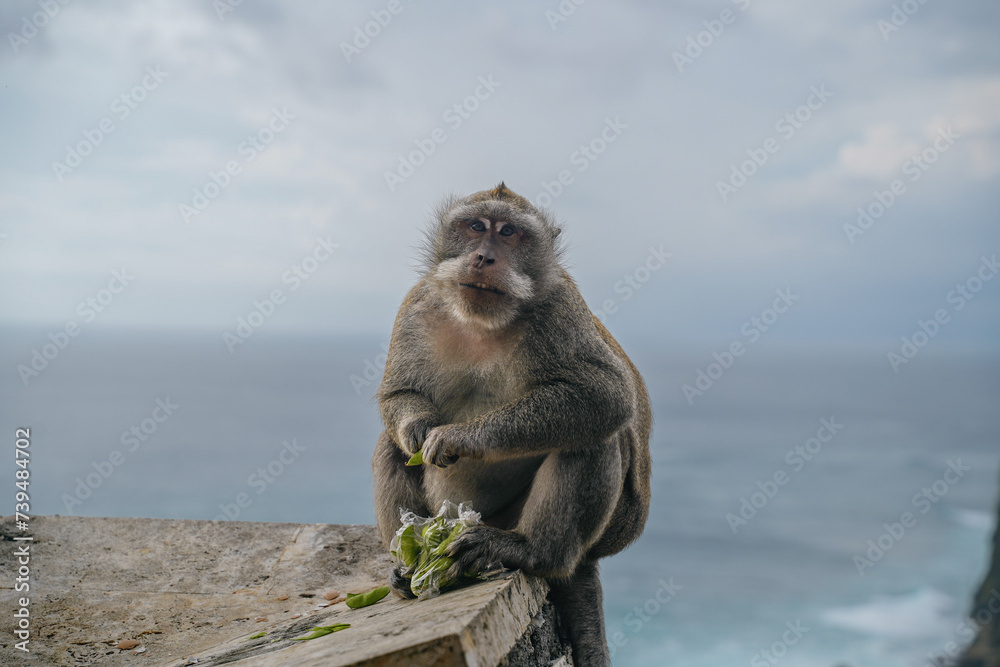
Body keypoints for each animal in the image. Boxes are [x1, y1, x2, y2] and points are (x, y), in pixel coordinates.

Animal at [372, 182, 651, 666]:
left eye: (509, 233)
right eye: (475, 226)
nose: (484, 257)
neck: (482, 322)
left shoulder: (560, 311)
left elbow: (607, 395)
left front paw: (457, 437)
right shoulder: (417, 304)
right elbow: (399, 398)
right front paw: (418, 427)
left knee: (595, 436)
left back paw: (530, 550)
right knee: (390, 446)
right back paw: (406, 569)